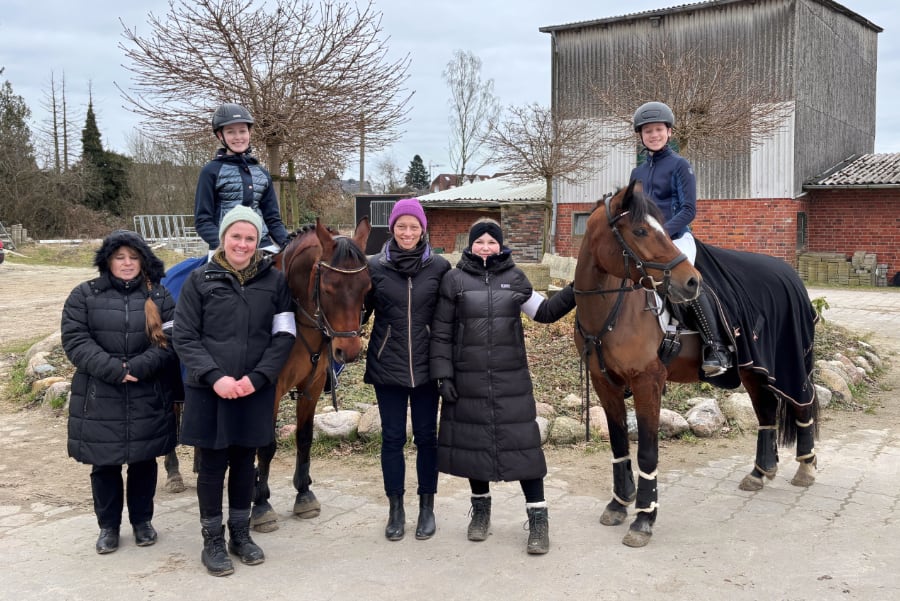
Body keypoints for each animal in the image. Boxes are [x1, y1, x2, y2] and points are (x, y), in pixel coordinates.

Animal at [248, 217, 370, 528]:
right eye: (327, 288)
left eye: (367, 287)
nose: (348, 350)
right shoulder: (269, 391)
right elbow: (265, 445)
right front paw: (261, 503)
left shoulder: (311, 387)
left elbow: (304, 438)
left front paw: (303, 494)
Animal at [572, 182, 820, 548]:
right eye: (640, 230)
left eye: (660, 228)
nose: (691, 281)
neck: (613, 310)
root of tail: (789, 273)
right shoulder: (604, 383)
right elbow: (619, 445)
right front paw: (618, 504)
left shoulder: (648, 382)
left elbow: (647, 452)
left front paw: (643, 519)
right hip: (753, 369)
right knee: (766, 411)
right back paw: (760, 473)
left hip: (789, 365)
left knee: (802, 404)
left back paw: (805, 468)